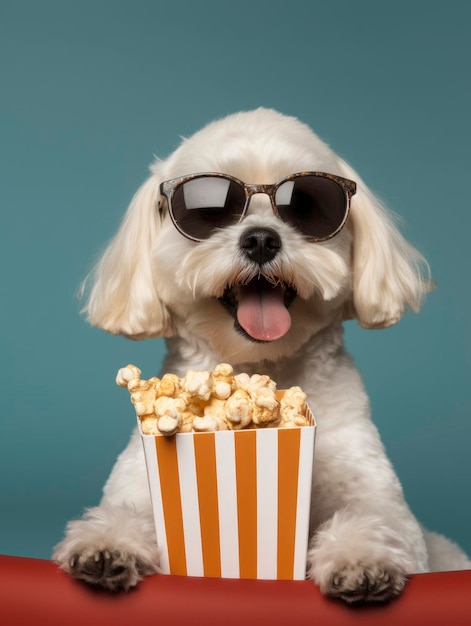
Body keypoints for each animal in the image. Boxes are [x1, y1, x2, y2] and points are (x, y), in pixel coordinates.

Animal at [52, 107, 471, 600]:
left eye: (307, 206)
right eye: (208, 212)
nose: (260, 239)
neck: (260, 371)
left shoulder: (374, 487)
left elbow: (376, 518)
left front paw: (360, 559)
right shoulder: (139, 476)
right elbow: (128, 511)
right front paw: (106, 543)